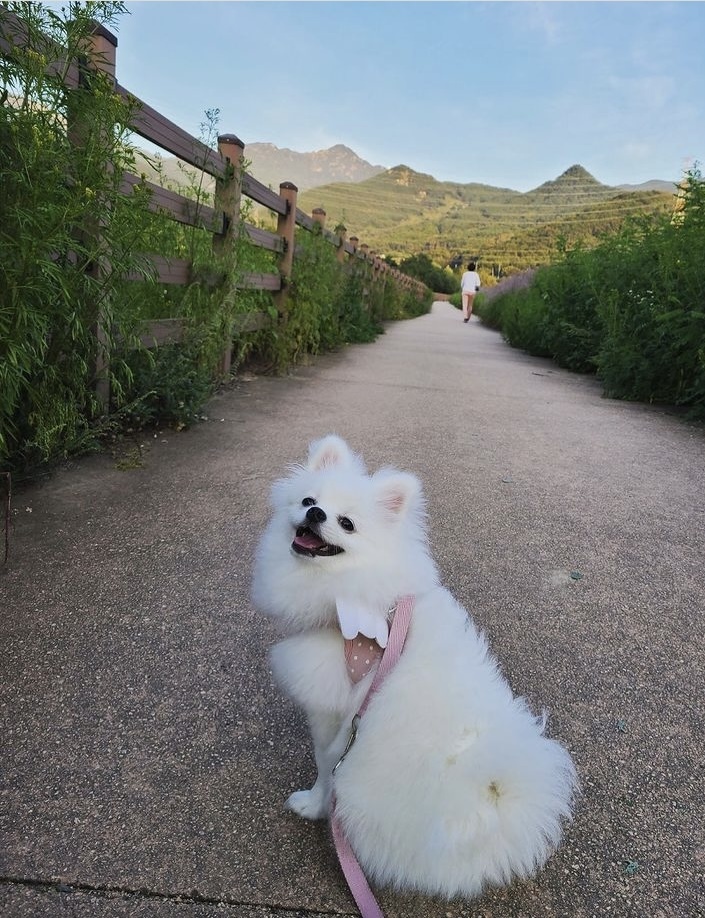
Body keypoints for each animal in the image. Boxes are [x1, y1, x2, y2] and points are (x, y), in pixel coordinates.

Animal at [250, 436, 576, 900]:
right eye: (309, 500)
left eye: (347, 524)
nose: (315, 514)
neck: (355, 596)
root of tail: (495, 804)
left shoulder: (332, 716)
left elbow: (324, 766)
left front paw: (312, 805)